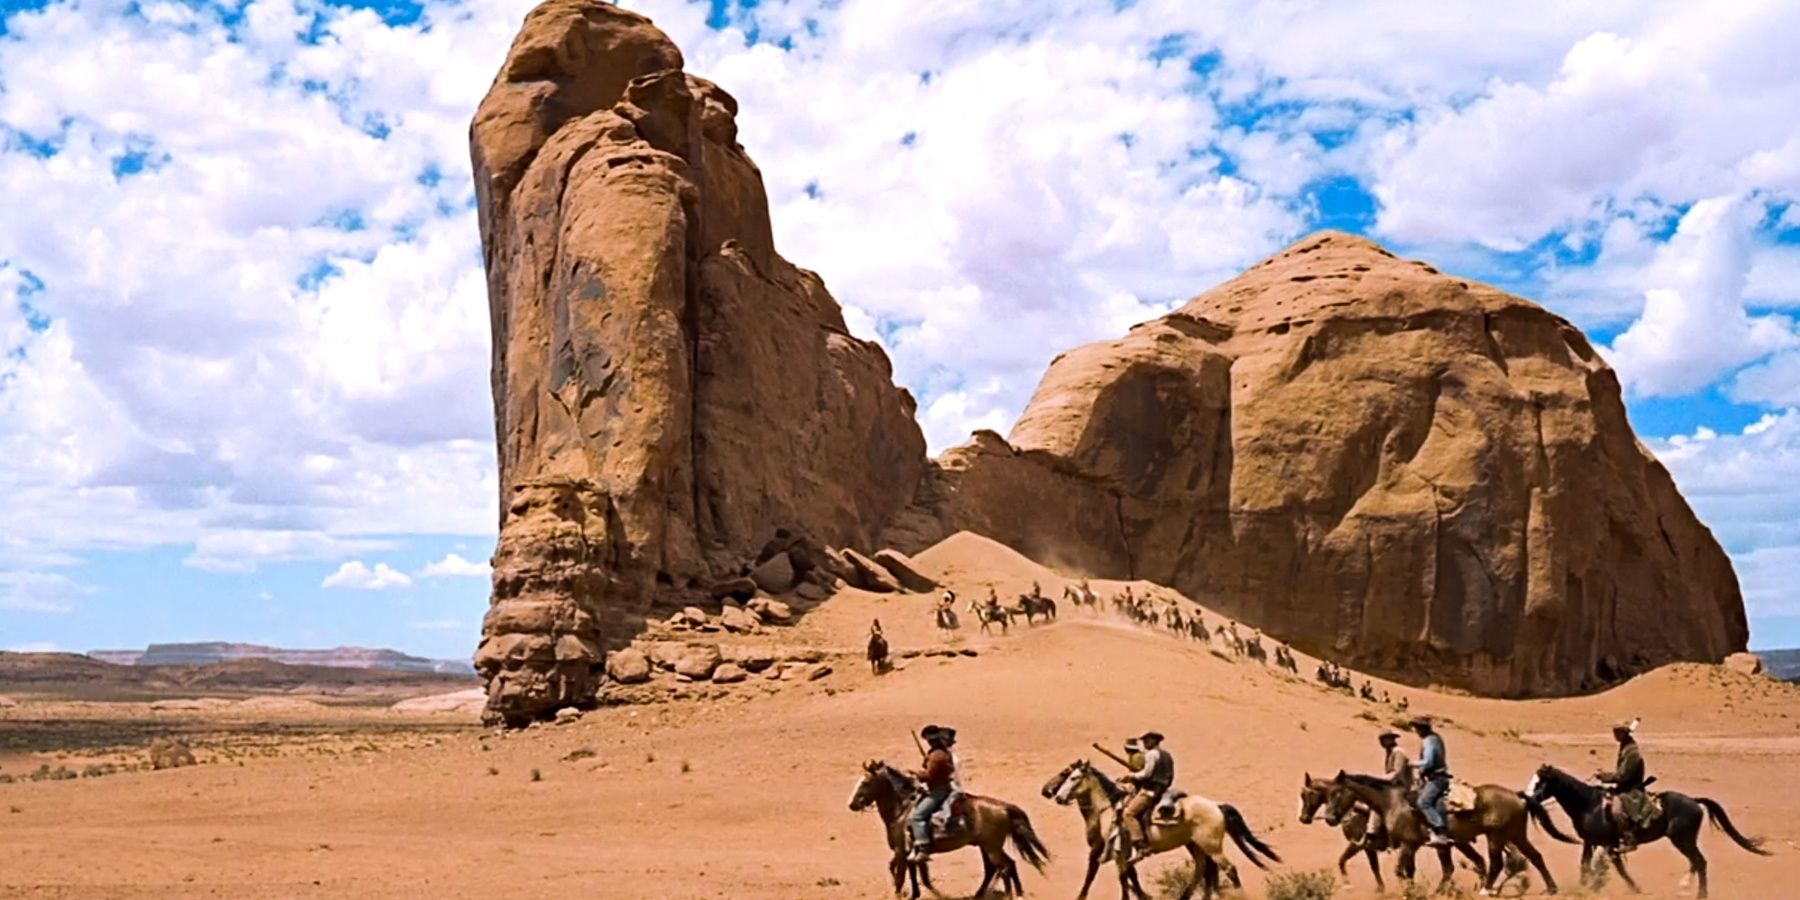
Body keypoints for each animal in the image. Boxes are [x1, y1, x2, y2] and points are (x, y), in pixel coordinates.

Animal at [846, 759, 1051, 900]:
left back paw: (1008, 894)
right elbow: (914, 872)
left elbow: (900, 875)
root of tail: (1003, 807)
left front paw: (901, 893)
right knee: (998, 867)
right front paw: (915, 894)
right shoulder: (909, 853)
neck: (902, 810)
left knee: (1004, 867)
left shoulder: (901, 851)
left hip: (991, 847)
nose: (852, 804)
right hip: (986, 846)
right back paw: (991, 894)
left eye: (865, 782)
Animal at [1044, 759, 1281, 900]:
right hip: (1195, 845)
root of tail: (1216, 805)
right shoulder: (1122, 853)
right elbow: (1126, 876)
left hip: (1211, 846)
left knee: (1229, 869)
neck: (1109, 808)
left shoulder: (1117, 851)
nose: (1056, 796)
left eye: (1072, 777)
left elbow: (1120, 877)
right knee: (1203, 869)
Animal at [1324, 770, 1576, 896]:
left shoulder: (1408, 844)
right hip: (1515, 835)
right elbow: (1411, 872)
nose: (1330, 819)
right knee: (1535, 857)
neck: (1392, 801)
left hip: (1496, 837)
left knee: (1496, 863)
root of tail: (1517, 796)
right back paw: (1551, 889)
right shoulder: (1419, 845)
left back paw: (1485, 890)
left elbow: (1401, 872)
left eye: (1336, 793)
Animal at [1526, 763, 1764, 896]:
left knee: (1700, 862)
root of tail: (1694, 802)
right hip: (1685, 841)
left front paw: (1634, 888)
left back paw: (1700, 894)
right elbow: (1585, 865)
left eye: (1540, 783)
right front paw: (1584, 887)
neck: (1589, 804)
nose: (1528, 797)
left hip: (1683, 840)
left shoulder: (1610, 844)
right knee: (1697, 863)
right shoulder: (1590, 842)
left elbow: (1619, 869)